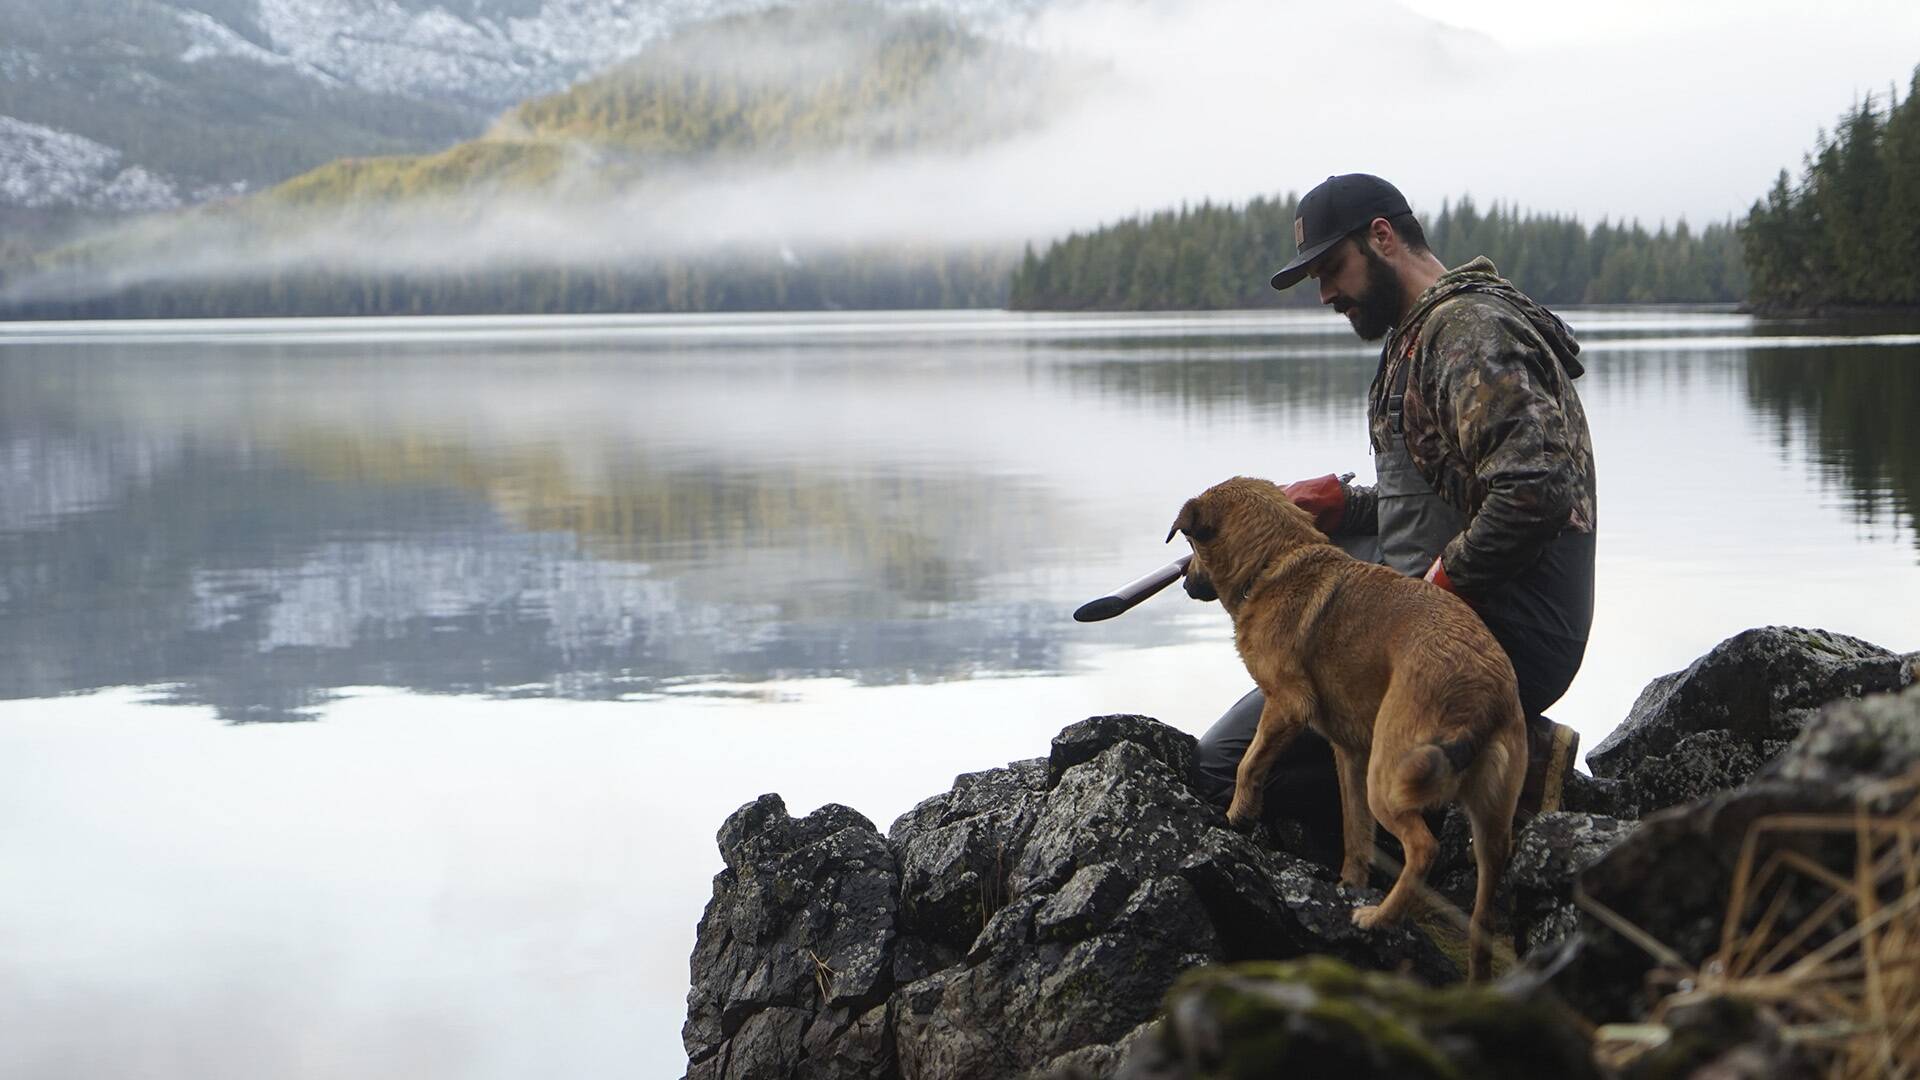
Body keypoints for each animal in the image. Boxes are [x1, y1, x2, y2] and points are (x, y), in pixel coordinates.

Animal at [1167, 470, 1528, 976]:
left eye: (1191, 544)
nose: (1183, 581)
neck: (1273, 563)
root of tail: (1481, 691)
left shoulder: (1286, 704)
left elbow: (1249, 763)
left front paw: (1238, 813)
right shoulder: (1351, 755)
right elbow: (1355, 831)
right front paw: (1348, 883)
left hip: (1390, 777)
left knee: (1423, 848)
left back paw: (1379, 918)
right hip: (1490, 821)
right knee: (1482, 916)